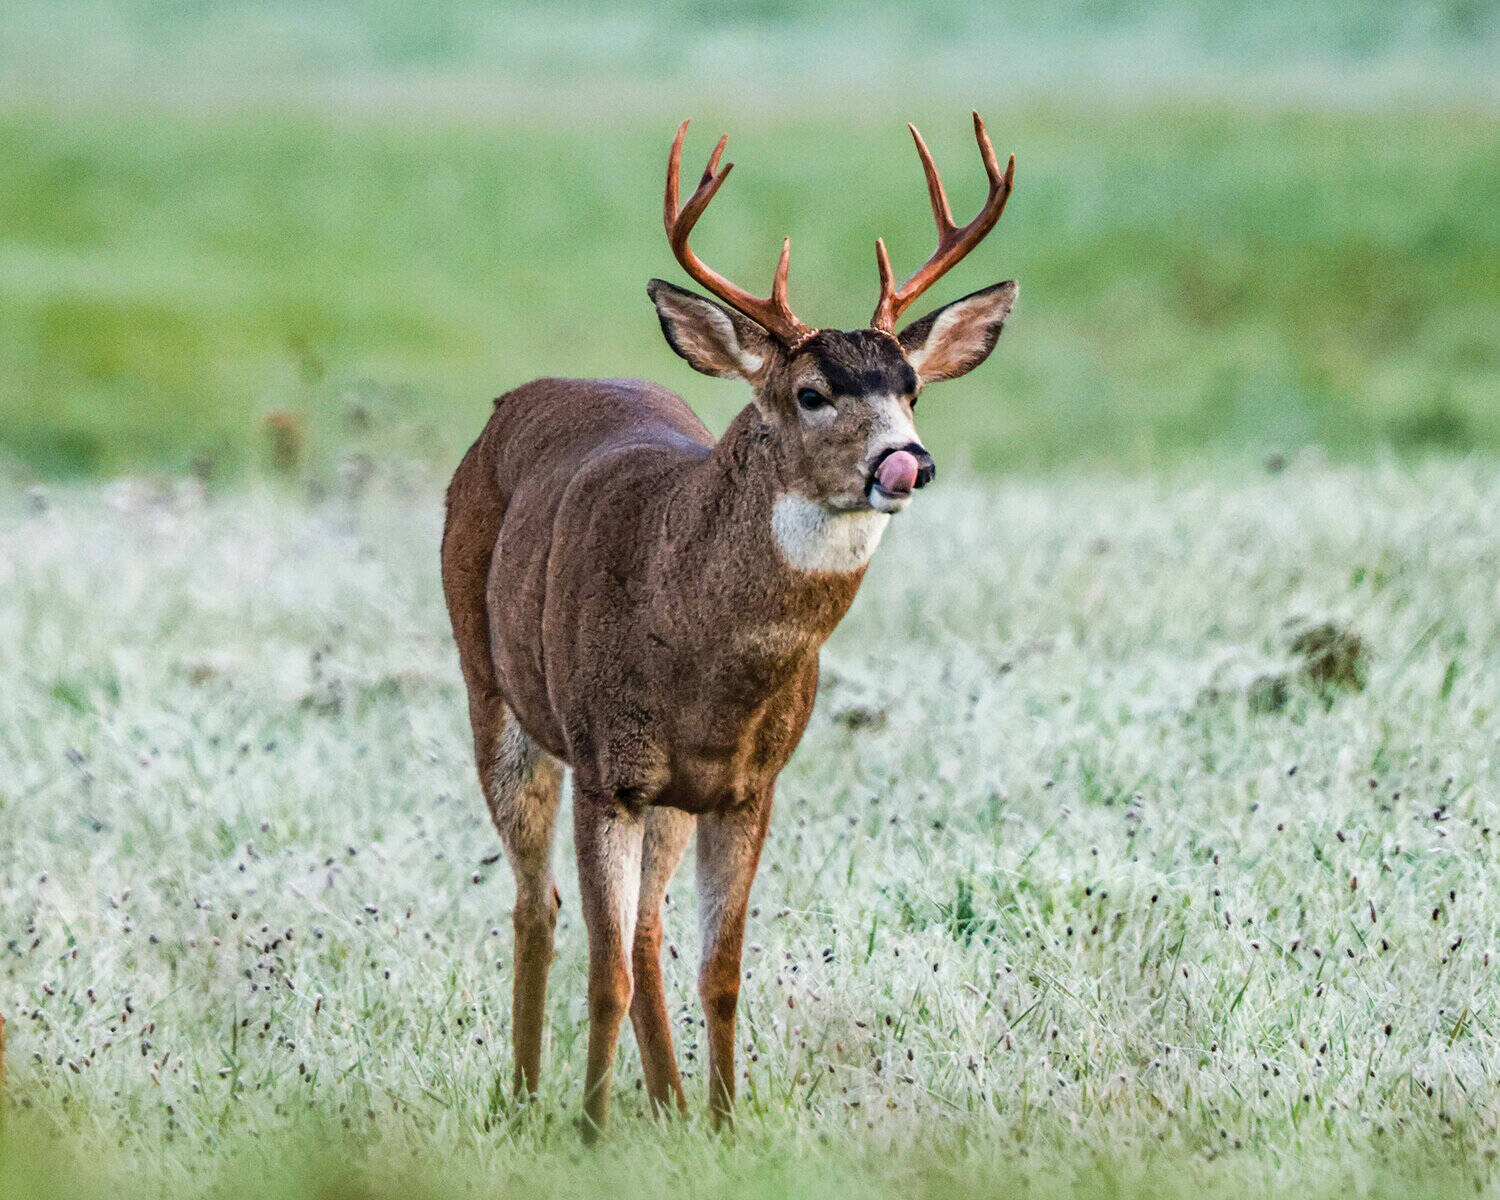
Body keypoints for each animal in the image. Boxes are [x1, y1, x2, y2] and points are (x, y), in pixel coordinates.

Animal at [441, 111, 1017, 1139]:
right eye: (811, 393)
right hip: (495, 691)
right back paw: (527, 1093)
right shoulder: (606, 767)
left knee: (644, 927)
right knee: (539, 905)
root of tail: (520, 399)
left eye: (912, 385)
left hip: (673, 797)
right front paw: (591, 1133)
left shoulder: (751, 784)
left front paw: (722, 1125)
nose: (906, 461)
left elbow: (719, 972)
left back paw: (665, 1102)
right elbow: (603, 973)